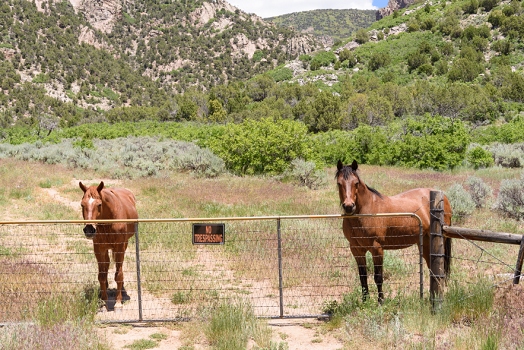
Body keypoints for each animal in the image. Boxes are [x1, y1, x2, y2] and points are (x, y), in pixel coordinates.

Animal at [79, 182, 138, 310]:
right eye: (82, 204)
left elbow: (119, 275)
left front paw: (118, 302)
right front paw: (103, 301)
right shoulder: (99, 248)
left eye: (99, 204)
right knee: (106, 265)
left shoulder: (119, 247)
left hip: (124, 245)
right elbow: (101, 275)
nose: (89, 229)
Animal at [338, 160, 452, 302]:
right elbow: (363, 277)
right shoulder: (356, 250)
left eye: (356, 183)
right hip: (425, 243)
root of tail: (444, 197)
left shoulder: (377, 249)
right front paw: (365, 302)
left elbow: (378, 277)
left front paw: (381, 301)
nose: (349, 207)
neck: (367, 210)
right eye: (339, 183)